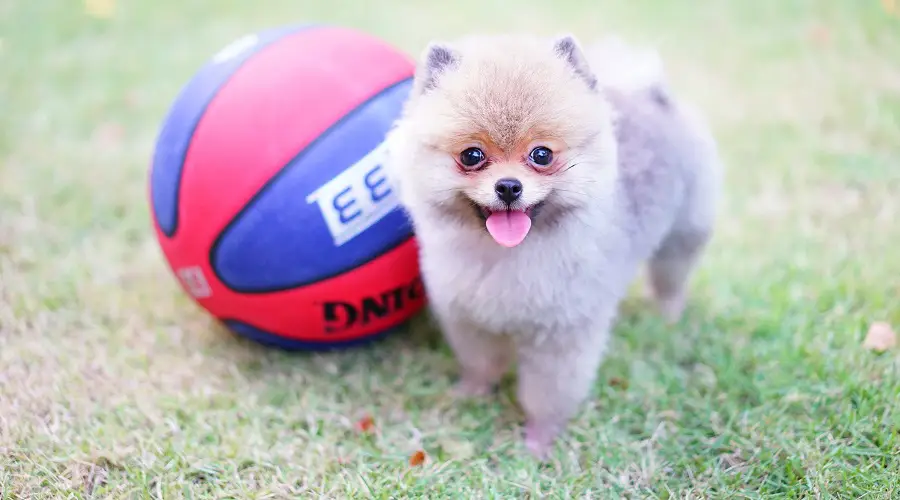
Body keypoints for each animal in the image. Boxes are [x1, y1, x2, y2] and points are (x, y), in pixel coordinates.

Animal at [384, 33, 720, 458]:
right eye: (472, 155)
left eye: (541, 154)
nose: (509, 186)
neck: (506, 255)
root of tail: (651, 93)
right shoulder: (470, 318)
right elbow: (481, 363)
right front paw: (472, 393)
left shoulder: (560, 336)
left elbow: (548, 393)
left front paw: (539, 440)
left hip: (683, 233)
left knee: (671, 277)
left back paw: (668, 315)